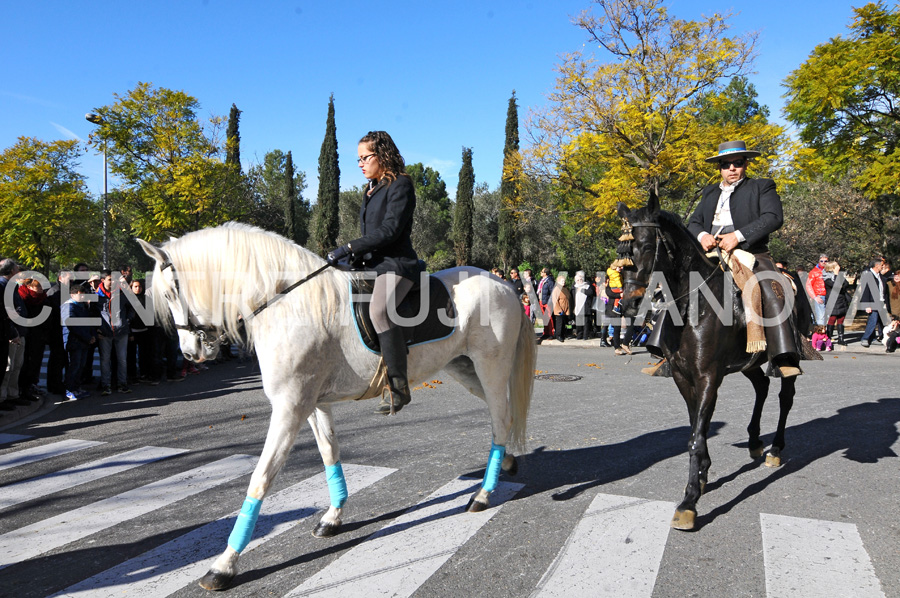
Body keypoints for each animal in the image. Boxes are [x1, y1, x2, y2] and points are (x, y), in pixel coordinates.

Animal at [137, 225, 536, 596]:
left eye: (171, 292)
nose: (190, 353)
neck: (285, 304)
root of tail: (502, 282)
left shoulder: (290, 407)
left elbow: (260, 479)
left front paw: (223, 565)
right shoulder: (313, 404)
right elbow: (330, 453)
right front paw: (333, 518)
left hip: (490, 366)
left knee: (501, 417)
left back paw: (483, 495)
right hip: (465, 370)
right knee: (502, 418)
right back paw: (505, 464)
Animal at [620, 195, 816, 532]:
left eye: (645, 245)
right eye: (624, 250)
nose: (628, 303)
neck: (696, 306)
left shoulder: (709, 377)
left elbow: (696, 437)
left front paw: (689, 501)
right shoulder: (684, 377)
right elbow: (696, 427)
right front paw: (701, 476)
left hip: (787, 358)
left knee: (785, 397)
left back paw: (776, 448)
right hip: (750, 362)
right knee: (762, 387)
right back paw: (754, 440)